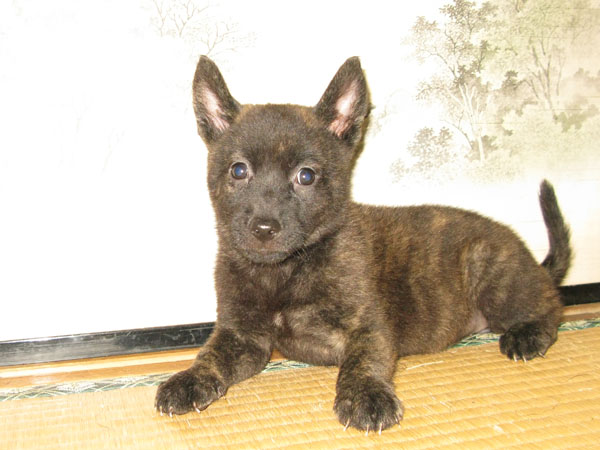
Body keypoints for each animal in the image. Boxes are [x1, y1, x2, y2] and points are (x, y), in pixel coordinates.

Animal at [155, 56, 571, 434]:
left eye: (306, 176)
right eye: (239, 170)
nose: (264, 227)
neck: (286, 271)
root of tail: (533, 263)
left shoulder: (369, 326)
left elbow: (361, 362)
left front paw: (367, 396)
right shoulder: (242, 335)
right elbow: (210, 356)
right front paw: (188, 379)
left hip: (489, 269)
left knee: (551, 307)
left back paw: (527, 335)